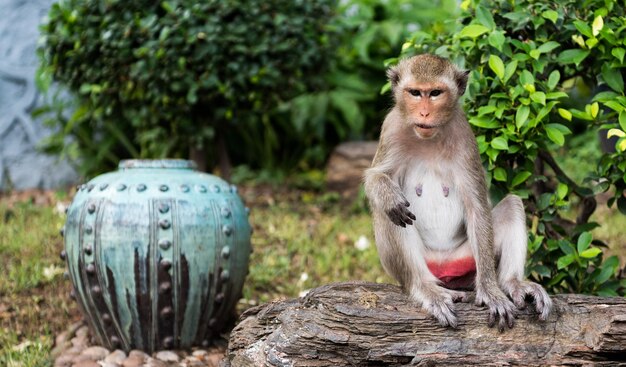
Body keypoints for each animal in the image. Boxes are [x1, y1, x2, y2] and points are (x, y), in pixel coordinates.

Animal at [360, 54, 552, 330]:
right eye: (415, 93)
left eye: (435, 93)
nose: (424, 112)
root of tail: (444, 268)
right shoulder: (391, 128)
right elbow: (375, 177)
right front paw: (388, 195)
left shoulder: (464, 136)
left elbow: (477, 208)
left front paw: (490, 291)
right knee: (390, 215)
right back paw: (425, 287)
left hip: (465, 257)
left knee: (513, 204)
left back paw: (511, 283)